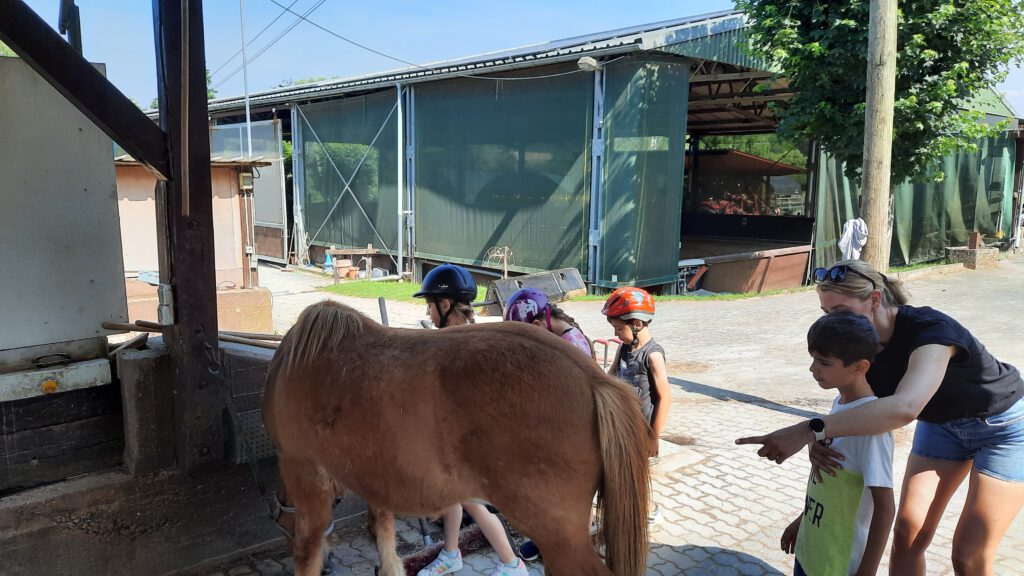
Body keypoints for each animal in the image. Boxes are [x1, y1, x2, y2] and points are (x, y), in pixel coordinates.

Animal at [263, 300, 651, 576]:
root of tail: (594, 380)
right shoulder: (377, 478)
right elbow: (385, 536)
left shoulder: (304, 472)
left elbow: (308, 551)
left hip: (558, 537)